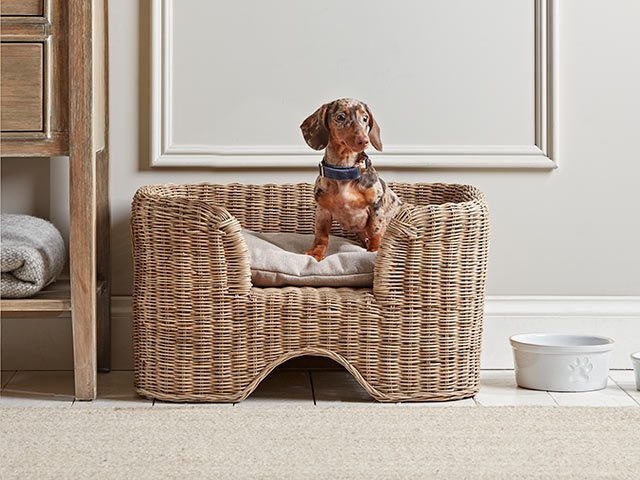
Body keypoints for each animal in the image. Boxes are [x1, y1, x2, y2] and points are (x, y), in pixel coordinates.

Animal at [300, 97, 400, 260]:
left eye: (365, 118)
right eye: (341, 117)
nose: (364, 140)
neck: (345, 170)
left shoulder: (376, 207)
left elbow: (375, 232)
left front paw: (374, 251)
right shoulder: (322, 210)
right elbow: (321, 235)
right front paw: (315, 253)